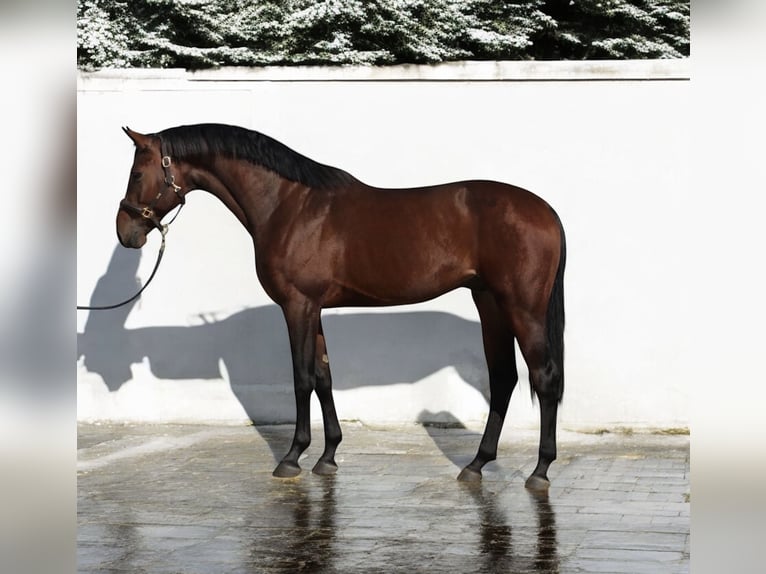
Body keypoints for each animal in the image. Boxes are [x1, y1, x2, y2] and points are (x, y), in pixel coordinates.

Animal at [117, 124, 568, 492]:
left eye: (137, 174)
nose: (125, 233)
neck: (289, 204)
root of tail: (544, 210)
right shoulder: (314, 309)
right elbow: (323, 376)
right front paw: (328, 456)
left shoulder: (297, 305)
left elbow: (301, 378)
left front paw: (292, 458)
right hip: (489, 303)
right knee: (504, 378)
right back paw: (476, 464)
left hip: (522, 307)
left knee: (543, 378)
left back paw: (540, 471)